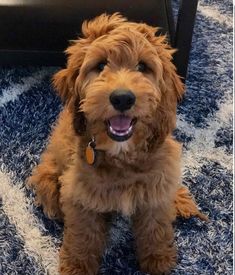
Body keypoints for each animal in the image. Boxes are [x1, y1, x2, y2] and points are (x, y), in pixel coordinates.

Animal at [28, 13, 207, 275]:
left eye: (142, 67)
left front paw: (158, 260)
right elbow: (83, 234)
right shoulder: (79, 192)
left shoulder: (156, 183)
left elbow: (155, 227)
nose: (122, 98)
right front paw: (77, 266)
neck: (121, 155)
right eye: (100, 65)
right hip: (48, 174)